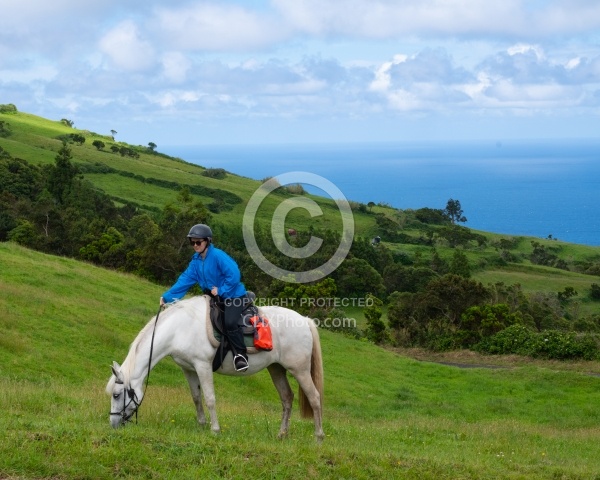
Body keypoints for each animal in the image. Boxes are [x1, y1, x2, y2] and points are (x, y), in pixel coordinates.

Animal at [105, 296, 326, 442]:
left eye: (116, 394)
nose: (113, 424)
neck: (179, 329)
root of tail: (304, 320)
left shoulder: (202, 365)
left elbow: (210, 398)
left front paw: (215, 430)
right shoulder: (188, 369)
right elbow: (196, 397)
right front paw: (202, 425)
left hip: (300, 370)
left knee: (315, 397)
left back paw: (319, 436)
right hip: (277, 369)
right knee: (287, 398)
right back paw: (282, 434)